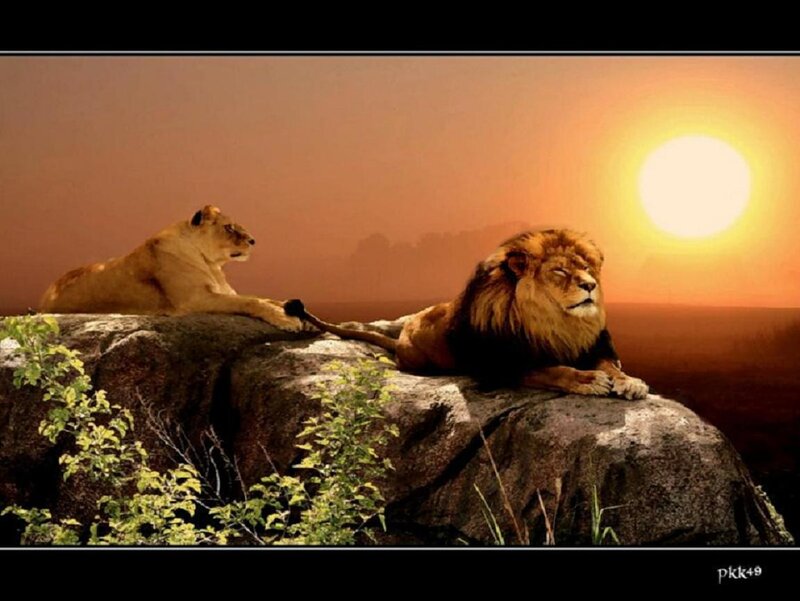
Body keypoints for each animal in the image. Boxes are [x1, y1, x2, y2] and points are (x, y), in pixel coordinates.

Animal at [39, 205, 309, 332]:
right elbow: (250, 301)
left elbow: (265, 298)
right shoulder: (195, 300)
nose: (253, 240)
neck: (212, 265)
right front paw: (285, 319)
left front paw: (291, 310)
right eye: (229, 227)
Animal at [285, 229, 648, 399]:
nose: (590, 285)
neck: (553, 322)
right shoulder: (502, 366)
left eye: (586, 267)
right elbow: (552, 369)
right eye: (559, 271)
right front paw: (588, 379)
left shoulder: (591, 344)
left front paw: (629, 382)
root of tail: (402, 333)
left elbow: (609, 366)